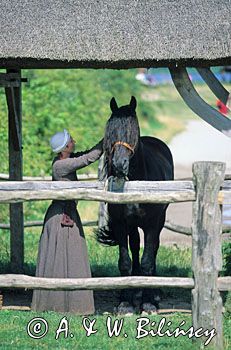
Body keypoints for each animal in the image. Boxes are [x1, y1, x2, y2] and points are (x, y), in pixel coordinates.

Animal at [95, 96, 173, 314]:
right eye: (111, 132)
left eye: (132, 130)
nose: (119, 165)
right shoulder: (121, 224)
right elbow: (125, 261)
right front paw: (125, 303)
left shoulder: (152, 224)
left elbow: (148, 260)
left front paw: (148, 303)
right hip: (132, 226)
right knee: (135, 246)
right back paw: (134, 291)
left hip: (159, 222)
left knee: (153, 249)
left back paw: (152, 293)